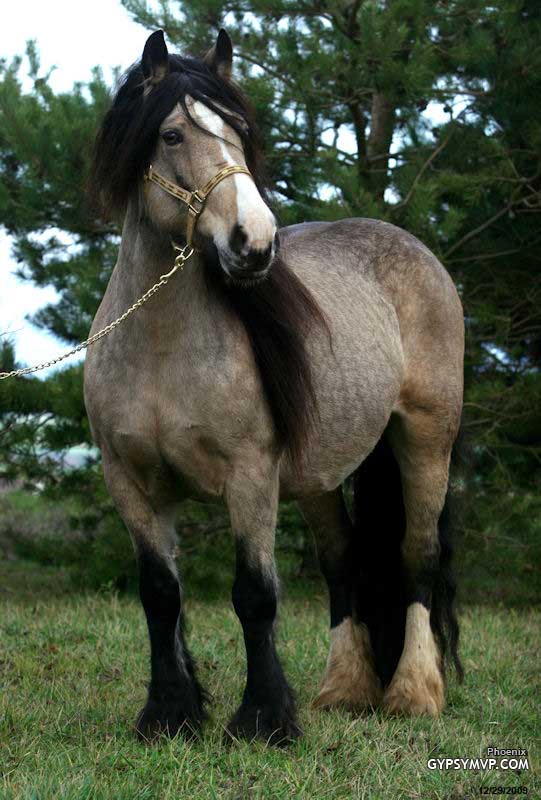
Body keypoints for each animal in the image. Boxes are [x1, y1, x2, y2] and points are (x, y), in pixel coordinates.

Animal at [84, 28, 464, 745]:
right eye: (171, 135)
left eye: (239, 128)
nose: (254, 243)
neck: (159, 348)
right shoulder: (131, 483)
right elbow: (160, 595)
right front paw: (169, 713)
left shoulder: (250, 476)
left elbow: (255, 595)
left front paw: (262, 719)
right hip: (318, 477)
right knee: (342, 561)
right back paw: (344, 690)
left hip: (427, 440)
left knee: (419, 556)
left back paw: (413, 693)